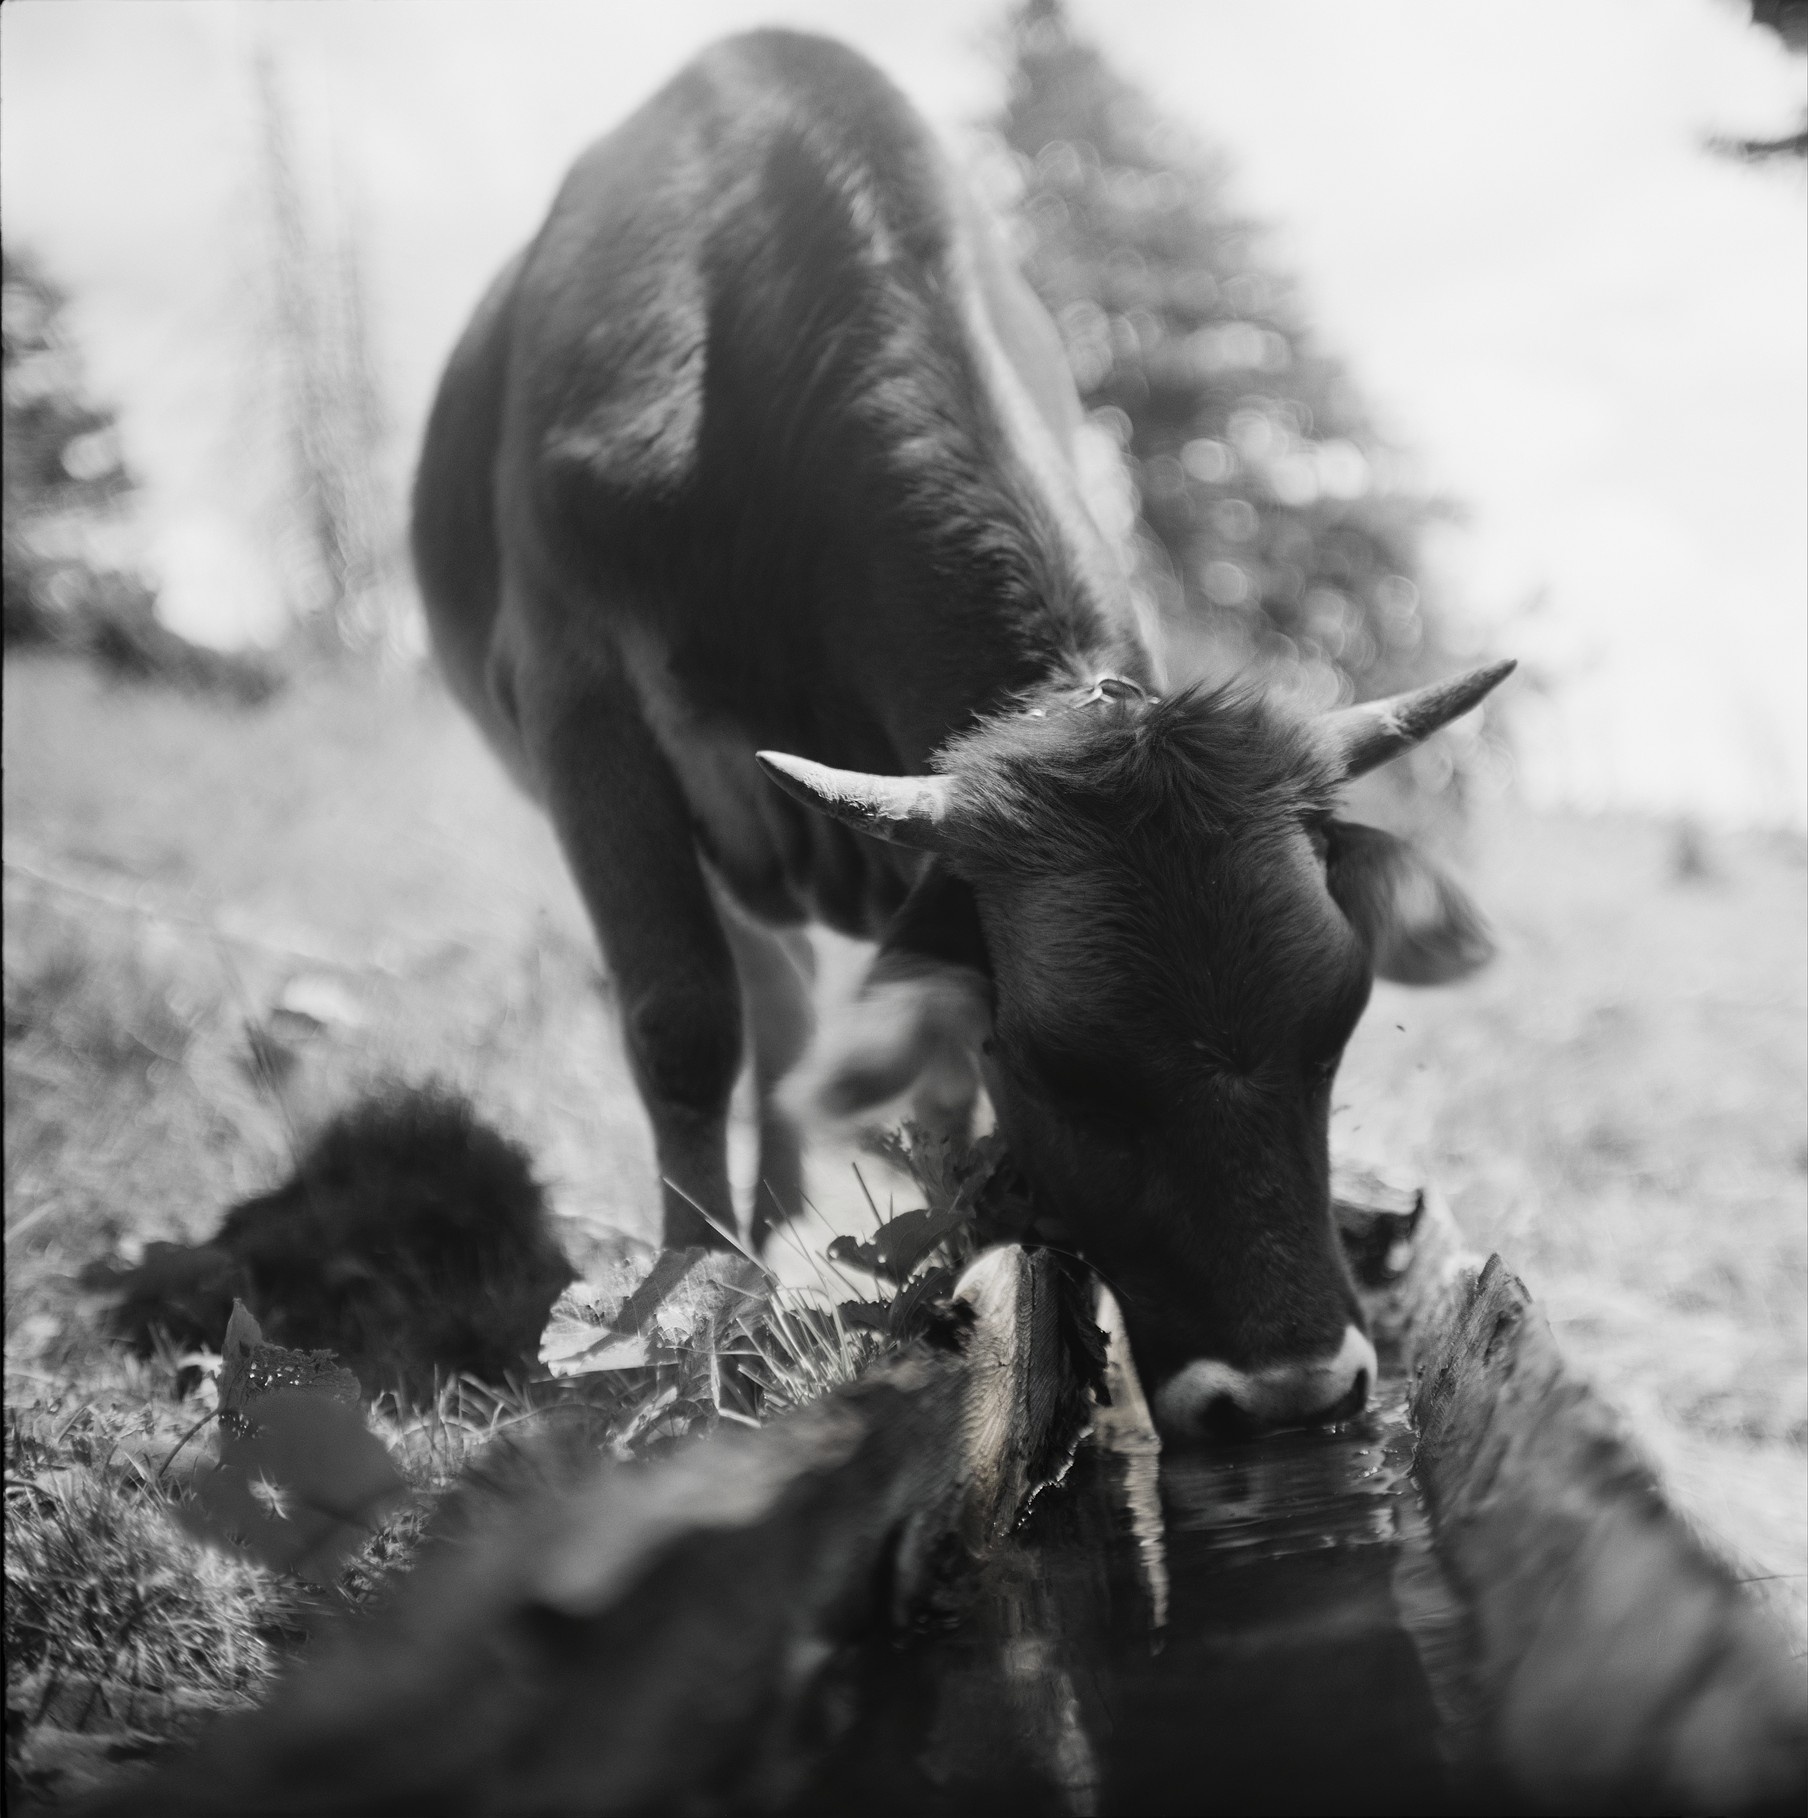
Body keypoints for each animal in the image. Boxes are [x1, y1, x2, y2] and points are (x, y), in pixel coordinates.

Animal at [409, 21, 1506, 1425]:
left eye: (1337, 1020)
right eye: (1053, 1060)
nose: (1289, 1394)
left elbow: (920, 1084)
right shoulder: (576, 691)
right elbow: (680, 1020)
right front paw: (669, 1323)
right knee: (757, 1008)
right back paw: (737, 1254)